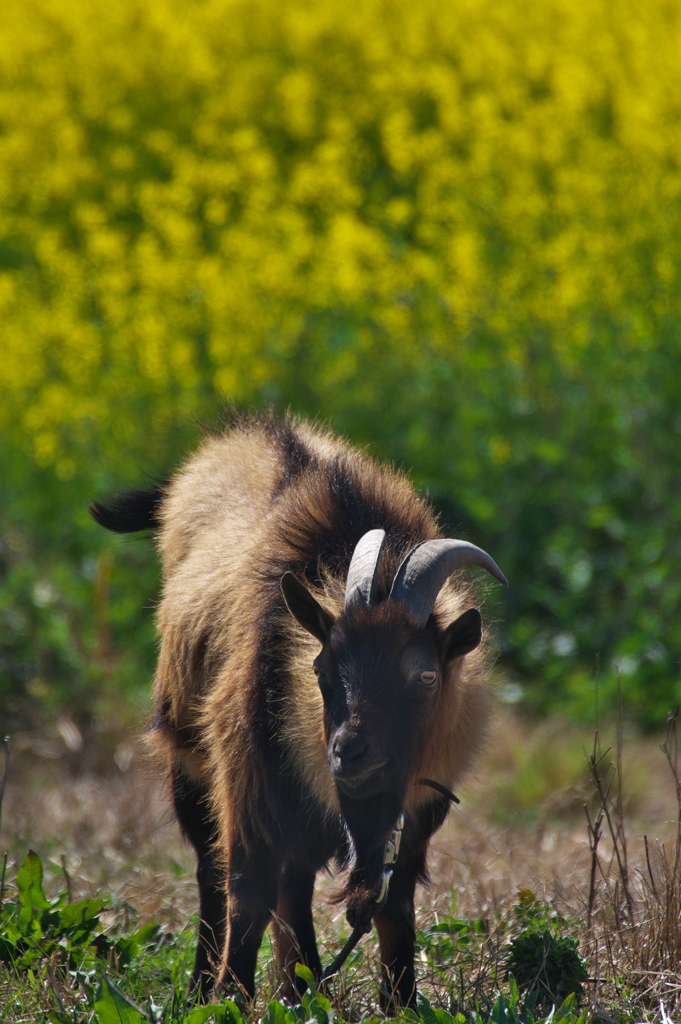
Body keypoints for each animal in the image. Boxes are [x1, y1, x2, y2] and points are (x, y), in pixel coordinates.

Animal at [90, 413, 503, 1007]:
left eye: (425, 676)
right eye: (320, 667)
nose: (348, 752)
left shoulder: (414, 815)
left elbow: (394, 908)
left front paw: (399, 1002)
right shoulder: (251, 784)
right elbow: (247, 895)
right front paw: (229, 1001)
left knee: (294, 886)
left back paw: (298, 987)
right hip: (189, 762)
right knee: (215, 874)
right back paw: (207, 986)